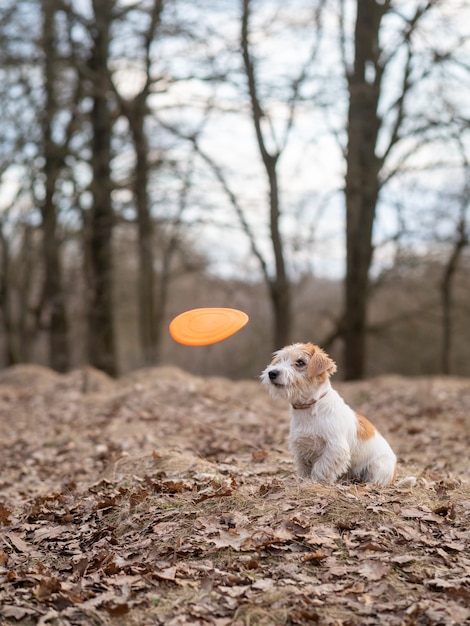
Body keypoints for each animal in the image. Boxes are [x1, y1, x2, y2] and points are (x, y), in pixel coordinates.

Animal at [260, 342, 396, 482]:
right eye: (280, 360)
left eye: (300, 362)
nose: (272, 373)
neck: (309, 407)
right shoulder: (300, 446)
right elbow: (304, 467)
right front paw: (303, 480)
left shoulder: (335, 448)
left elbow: (321, 467)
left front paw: (316, 481)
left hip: (378, 466)